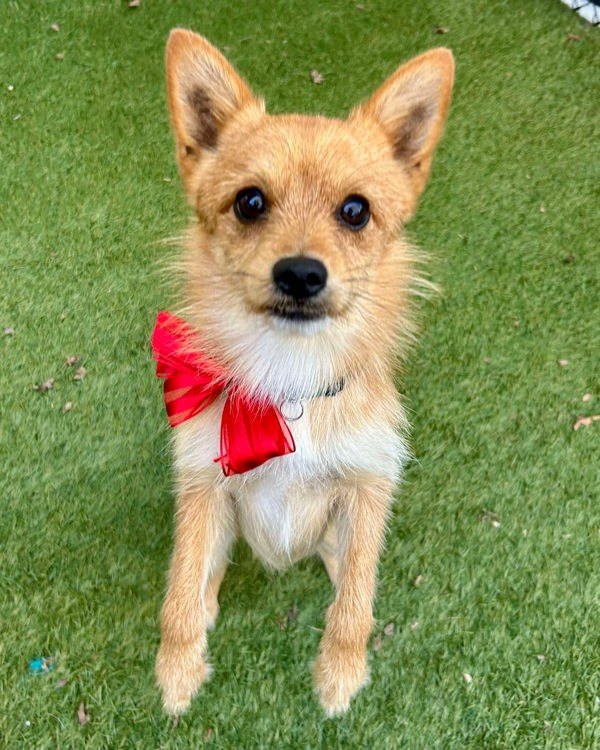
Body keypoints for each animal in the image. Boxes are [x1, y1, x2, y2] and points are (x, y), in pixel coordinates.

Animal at [152, 29, 452, 720]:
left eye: (356, 210)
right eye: (250, 202)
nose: (300, 273)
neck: (288, 380)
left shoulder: (367, 487)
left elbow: (354, 609)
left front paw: (340, 676)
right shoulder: (204, 485)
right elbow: (179, 593)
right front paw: (177, 674)